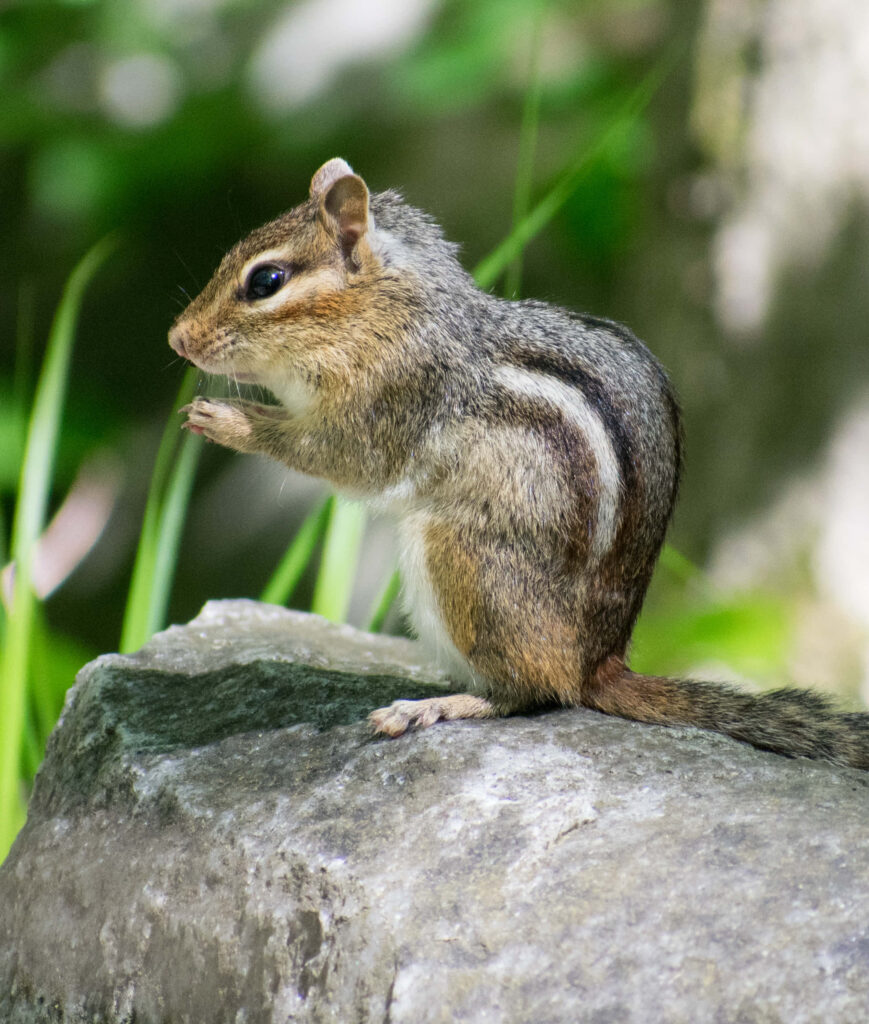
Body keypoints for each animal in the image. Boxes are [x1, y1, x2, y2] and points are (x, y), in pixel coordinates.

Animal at [169, 157, 869, 771]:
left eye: (266, 282)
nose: (177, 339)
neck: (386, 313)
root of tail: (598, 664)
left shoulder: (389, 405)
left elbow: (335, 456)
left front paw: (229, 420)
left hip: (460, 555)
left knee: (534, 693)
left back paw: (437, 705)